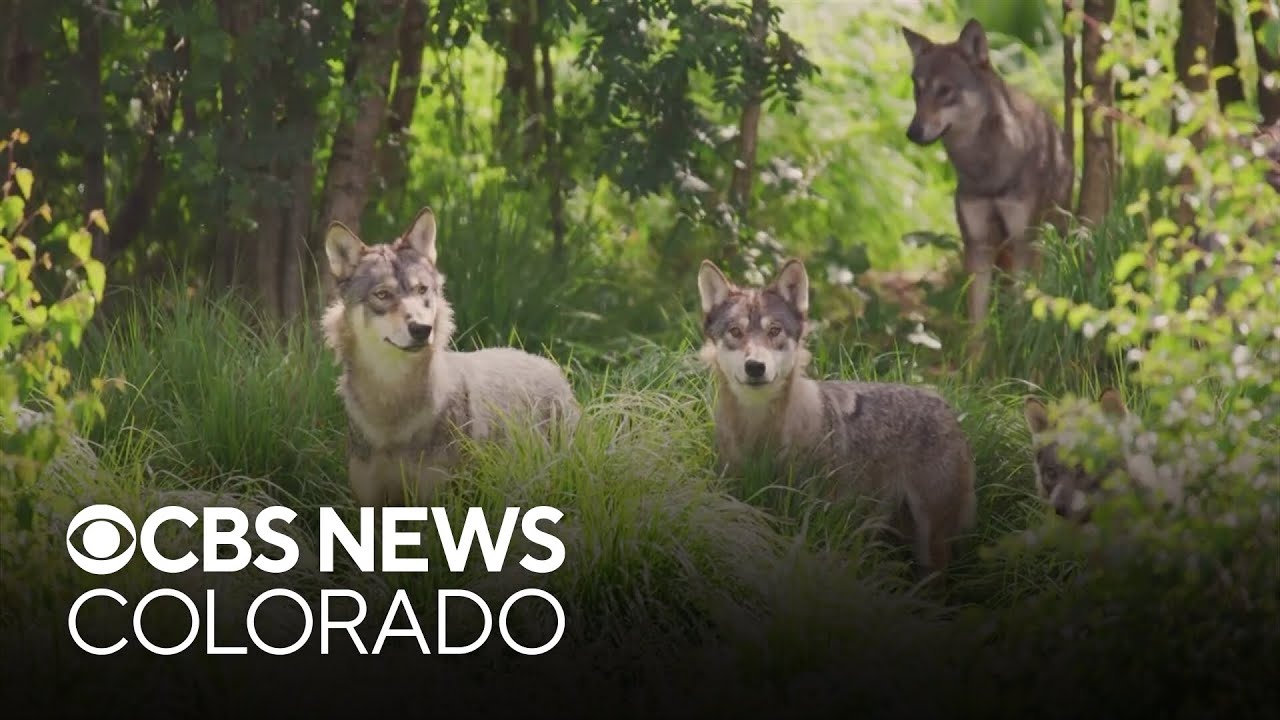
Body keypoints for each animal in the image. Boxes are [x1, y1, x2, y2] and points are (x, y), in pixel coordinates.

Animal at [322, 207, 579, 507]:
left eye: (422, 290)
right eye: (382, 295)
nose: (422, 329)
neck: (392, 414)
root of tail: (549, 364)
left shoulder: (437, 499)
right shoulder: (369, 502)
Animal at [696, 258, 978, 577]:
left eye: (774, 331)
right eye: (735, 332)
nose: (755, 366)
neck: (759, 435)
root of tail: (946, 406)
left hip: (930, 534)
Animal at [901, 18, 1075, 355]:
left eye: (945, 90)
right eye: (918, 88)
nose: (913, 132)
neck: (984, 169)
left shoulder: (1022, 241)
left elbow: (1021, 307)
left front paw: (1014, 355)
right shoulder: (977, 245)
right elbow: (977, 324)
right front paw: (975, 366)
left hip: (1043, 239)